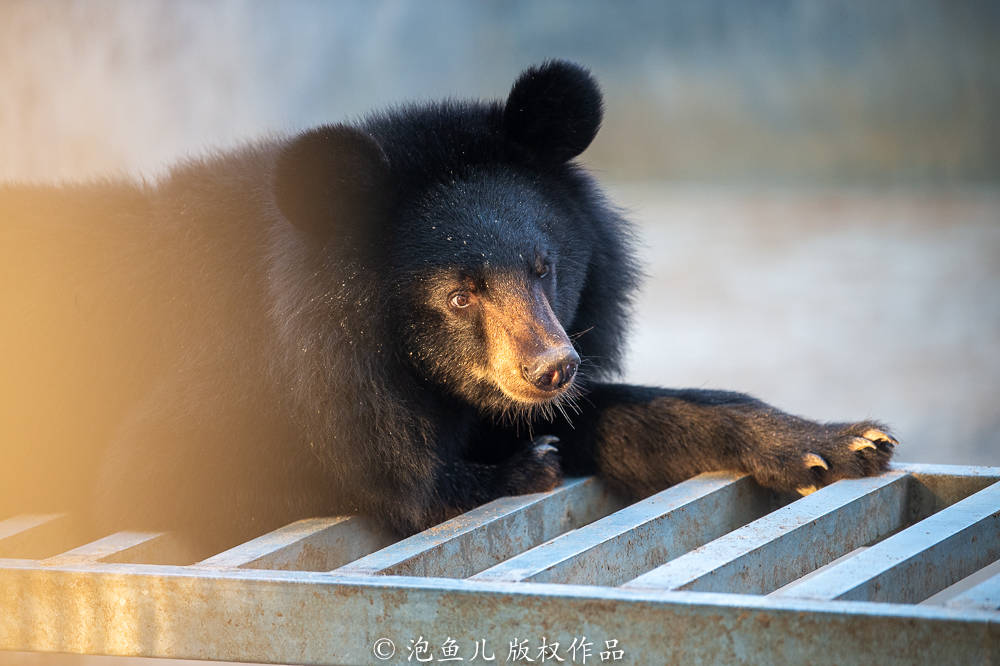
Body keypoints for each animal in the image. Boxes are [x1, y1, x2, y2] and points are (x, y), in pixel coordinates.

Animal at [0, 61, 892, 548]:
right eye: (459, 294)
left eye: (544, 265)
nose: (552, 368)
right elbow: (172, 472)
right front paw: (512, 470)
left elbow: (636, 413)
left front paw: (839, 444)